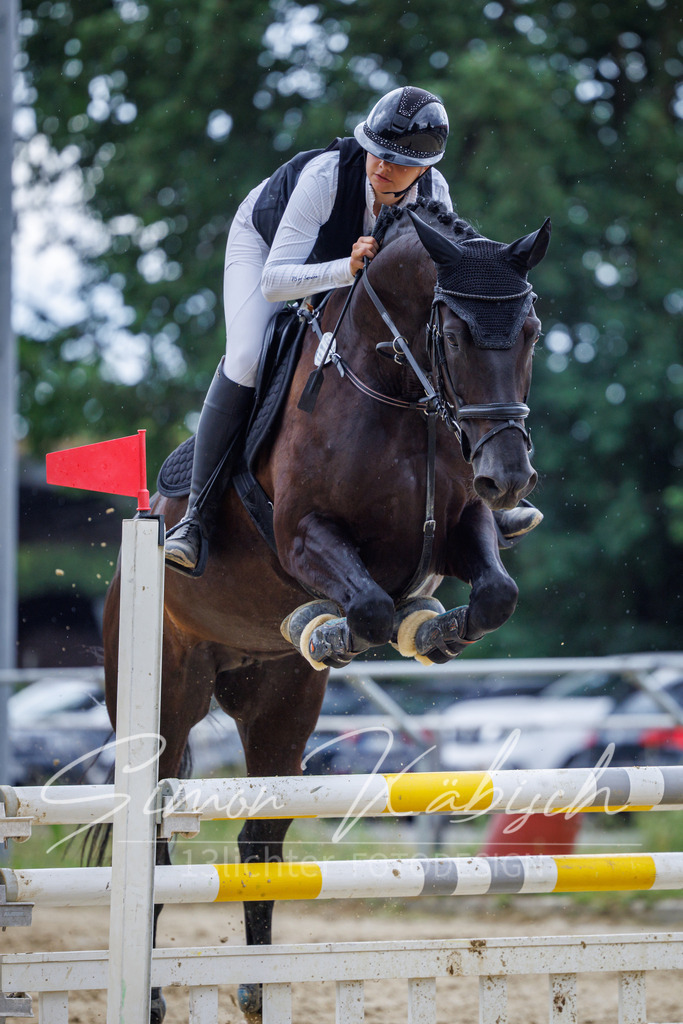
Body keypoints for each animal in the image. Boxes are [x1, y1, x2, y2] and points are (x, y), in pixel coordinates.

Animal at [101, 198, 550, 1022]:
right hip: (165, 693)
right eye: (451, 335)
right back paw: (146, 998)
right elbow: (368, 605)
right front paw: (333, 628)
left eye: (530, 331)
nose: (508, 475)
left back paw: (256, 988)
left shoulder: (463, 526)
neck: (400, 397)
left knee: (260, 840)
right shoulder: (305, 537)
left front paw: (431, 627)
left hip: (280, 707)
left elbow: (491, 595)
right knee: (154, 837)